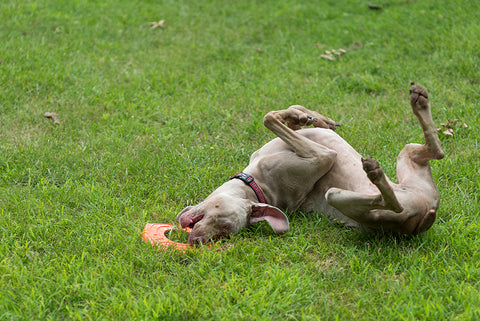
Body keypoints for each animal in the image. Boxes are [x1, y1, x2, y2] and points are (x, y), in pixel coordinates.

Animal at [178, 84, 444, 244]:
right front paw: (305, 116)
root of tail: (420, 222)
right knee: (431, 158)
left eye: (224, 227)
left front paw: (307, 116)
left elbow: (276, 116)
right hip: (360, 191)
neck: (258, 186)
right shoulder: (320, 155)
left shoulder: (322, 155)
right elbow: (277, 117)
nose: (196, 242)